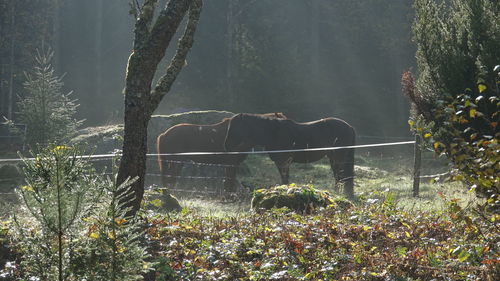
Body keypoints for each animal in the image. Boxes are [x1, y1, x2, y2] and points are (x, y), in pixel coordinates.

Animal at [156, 112, 286, 191]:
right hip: (175, 161)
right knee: (170, 178)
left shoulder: (229, 164)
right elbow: (229, 183)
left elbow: (228, 182)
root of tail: (164, 134)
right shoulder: (231, 163)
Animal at [223, 113, 356, 197]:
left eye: (233, 127)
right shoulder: (281, 162)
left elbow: (284, 178)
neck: (273, 132)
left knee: (341, 175)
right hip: (333, 157)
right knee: (339, 176)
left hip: (338, 157)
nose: (226, 145)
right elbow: (285, 179)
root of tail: (349, 126)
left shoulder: (283, 161)